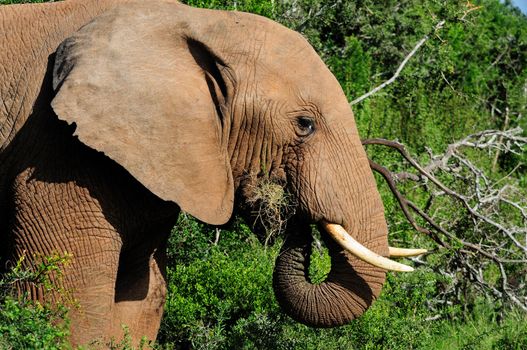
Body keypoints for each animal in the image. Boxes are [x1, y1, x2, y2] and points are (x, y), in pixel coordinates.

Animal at [0, 0, 426, 346]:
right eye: (305, 125)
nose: (291, 214)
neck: (199, 22)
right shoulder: (55, 153)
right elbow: (67, 301)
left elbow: (141, 296)